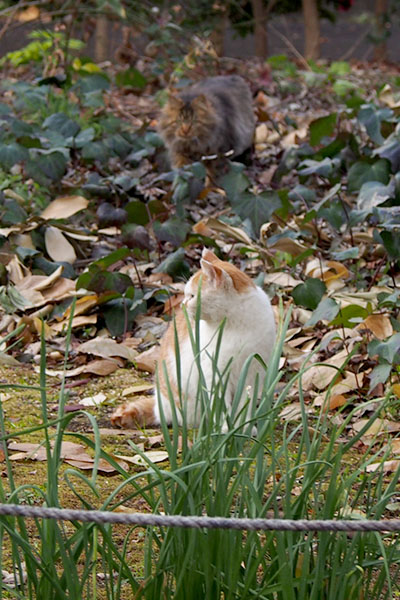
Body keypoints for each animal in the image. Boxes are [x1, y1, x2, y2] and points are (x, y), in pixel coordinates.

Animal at [111, 250, 276, 432]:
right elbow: (221, 406)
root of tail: (158, 407)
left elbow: (244, 404)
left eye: (191, 296)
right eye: (186, 295)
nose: (182, 304)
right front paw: (226, 429)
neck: (237, 324)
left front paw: (244, 428)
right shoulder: (213, 372)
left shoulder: (252, 372)